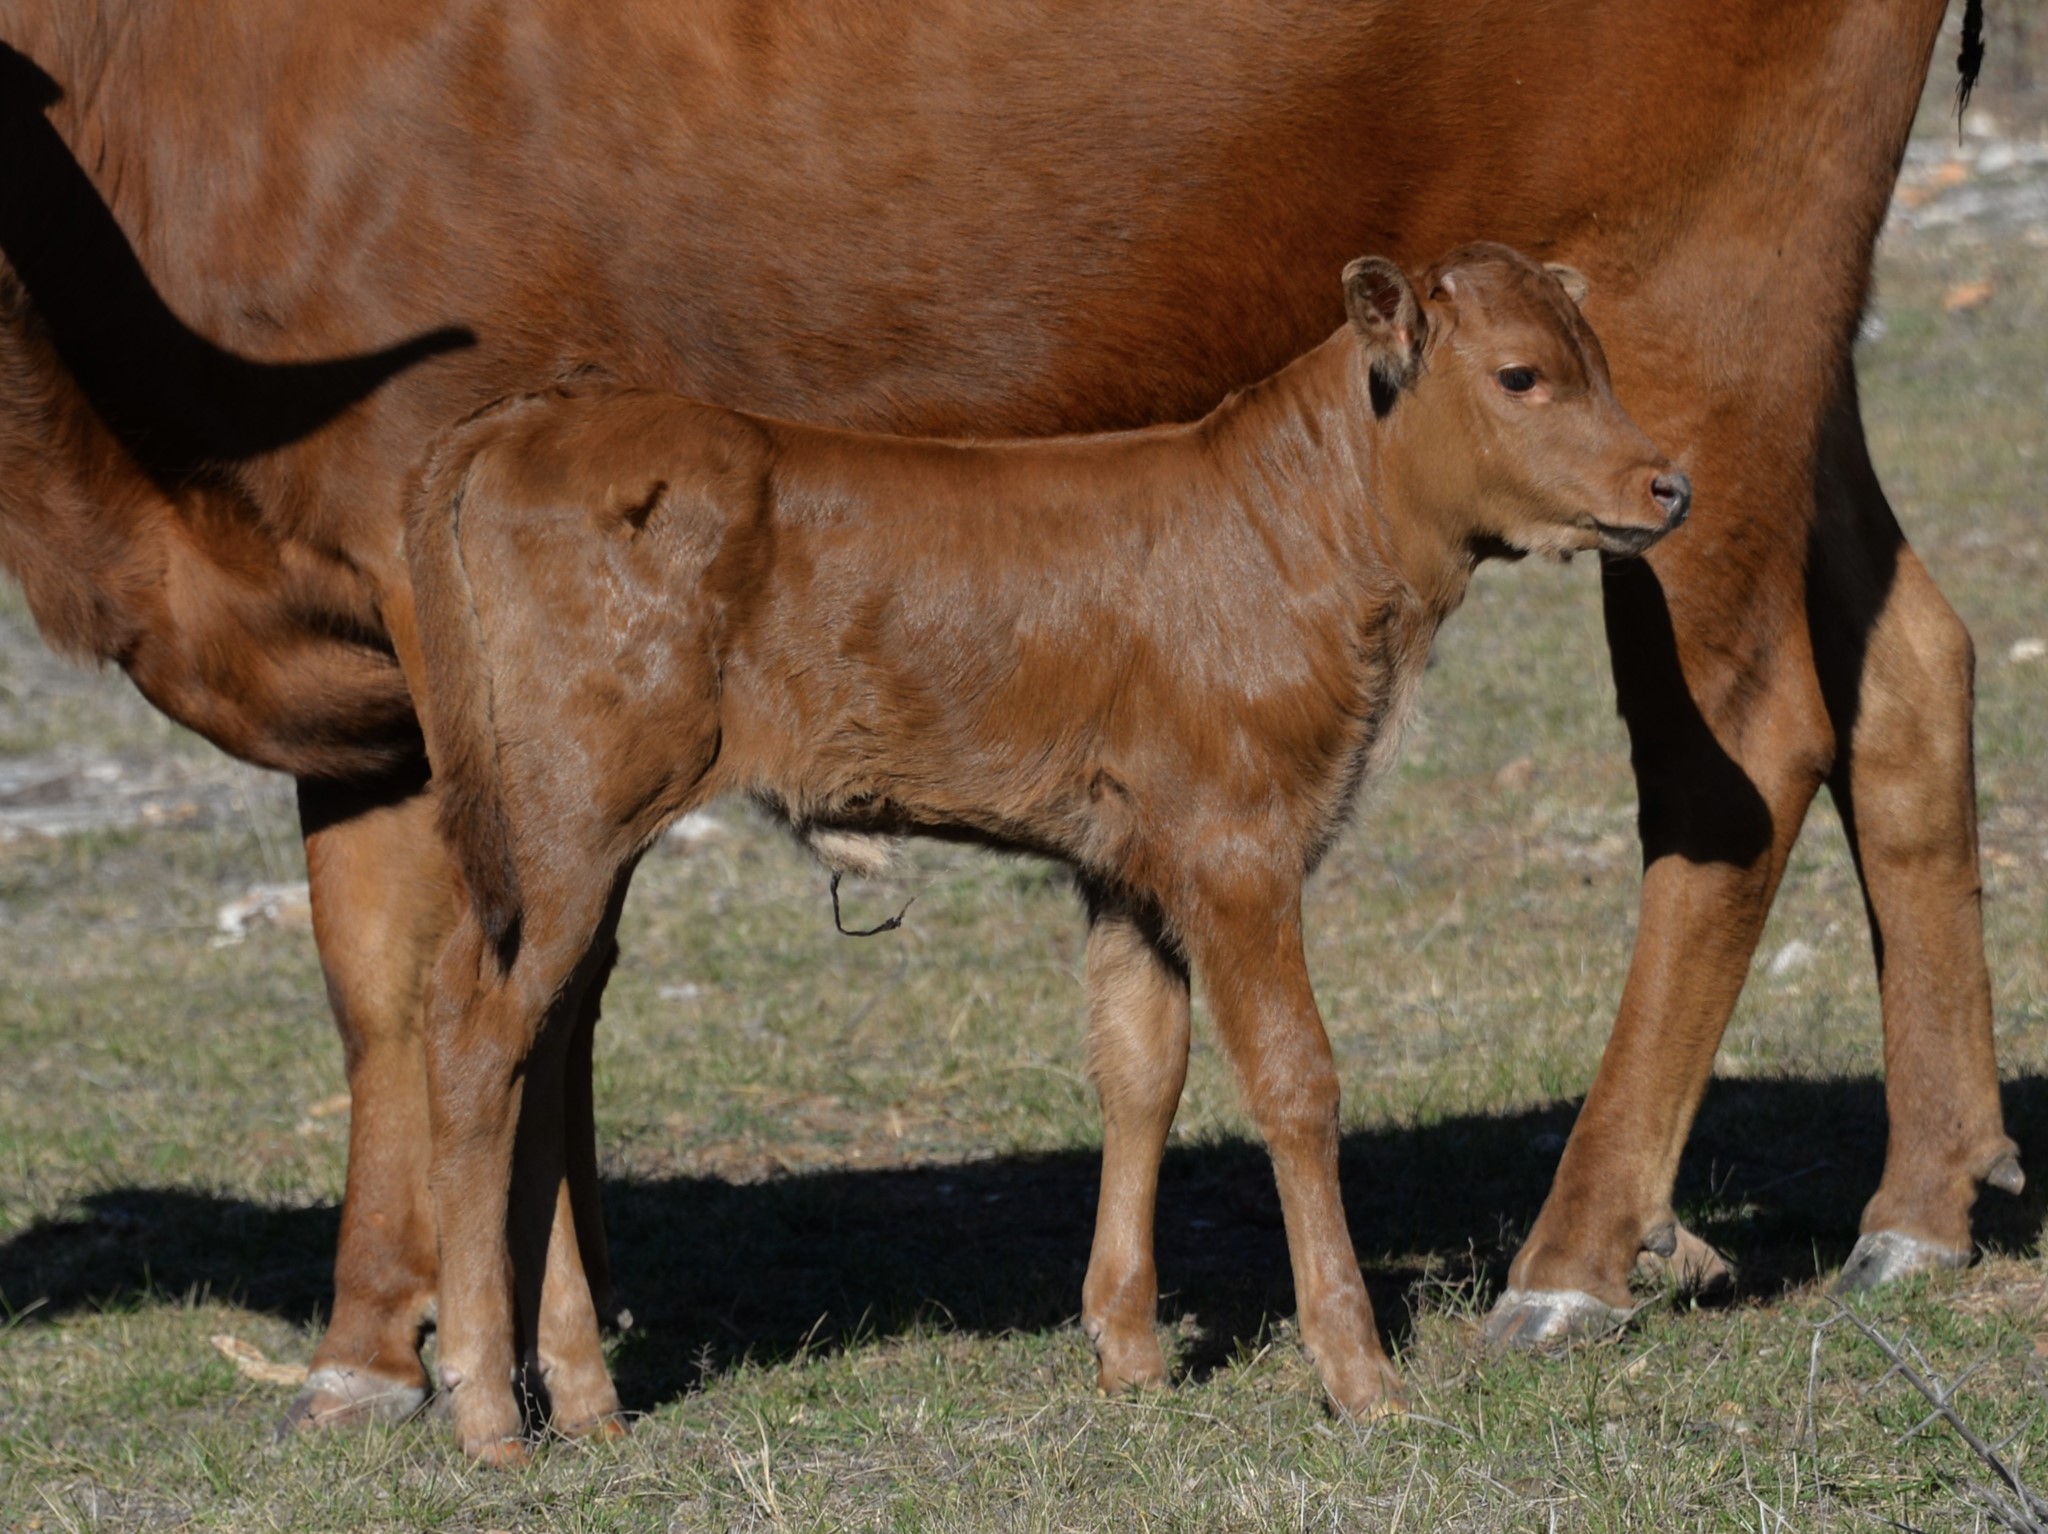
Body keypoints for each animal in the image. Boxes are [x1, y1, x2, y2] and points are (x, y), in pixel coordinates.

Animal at [0, 0, 2017, 1429]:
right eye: (1520, 373)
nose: (1650, 481)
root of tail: (530, 434)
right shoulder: (1214, 842)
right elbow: (1268, 1069)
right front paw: (1334, 1365)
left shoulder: (1157, 848)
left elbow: (1159, 1058)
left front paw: (1153, 1347)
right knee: (492, 1032)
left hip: (1738, 312)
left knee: (1777, 728)